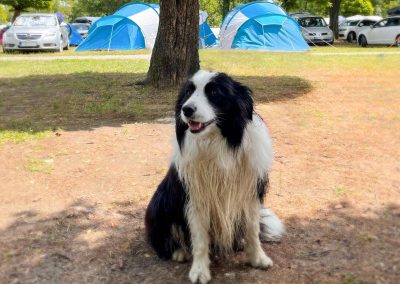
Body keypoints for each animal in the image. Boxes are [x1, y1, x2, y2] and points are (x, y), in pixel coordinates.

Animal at [145, 70, 282, 282]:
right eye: (188, 93)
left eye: (214, 93)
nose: (186, 109)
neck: (220, 143)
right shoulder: (196, 197)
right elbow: (199, 238)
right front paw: (200, 271)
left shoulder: (250, 192)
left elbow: (253, 229)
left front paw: (258, 258)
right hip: (161, 203)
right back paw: (179, 251)